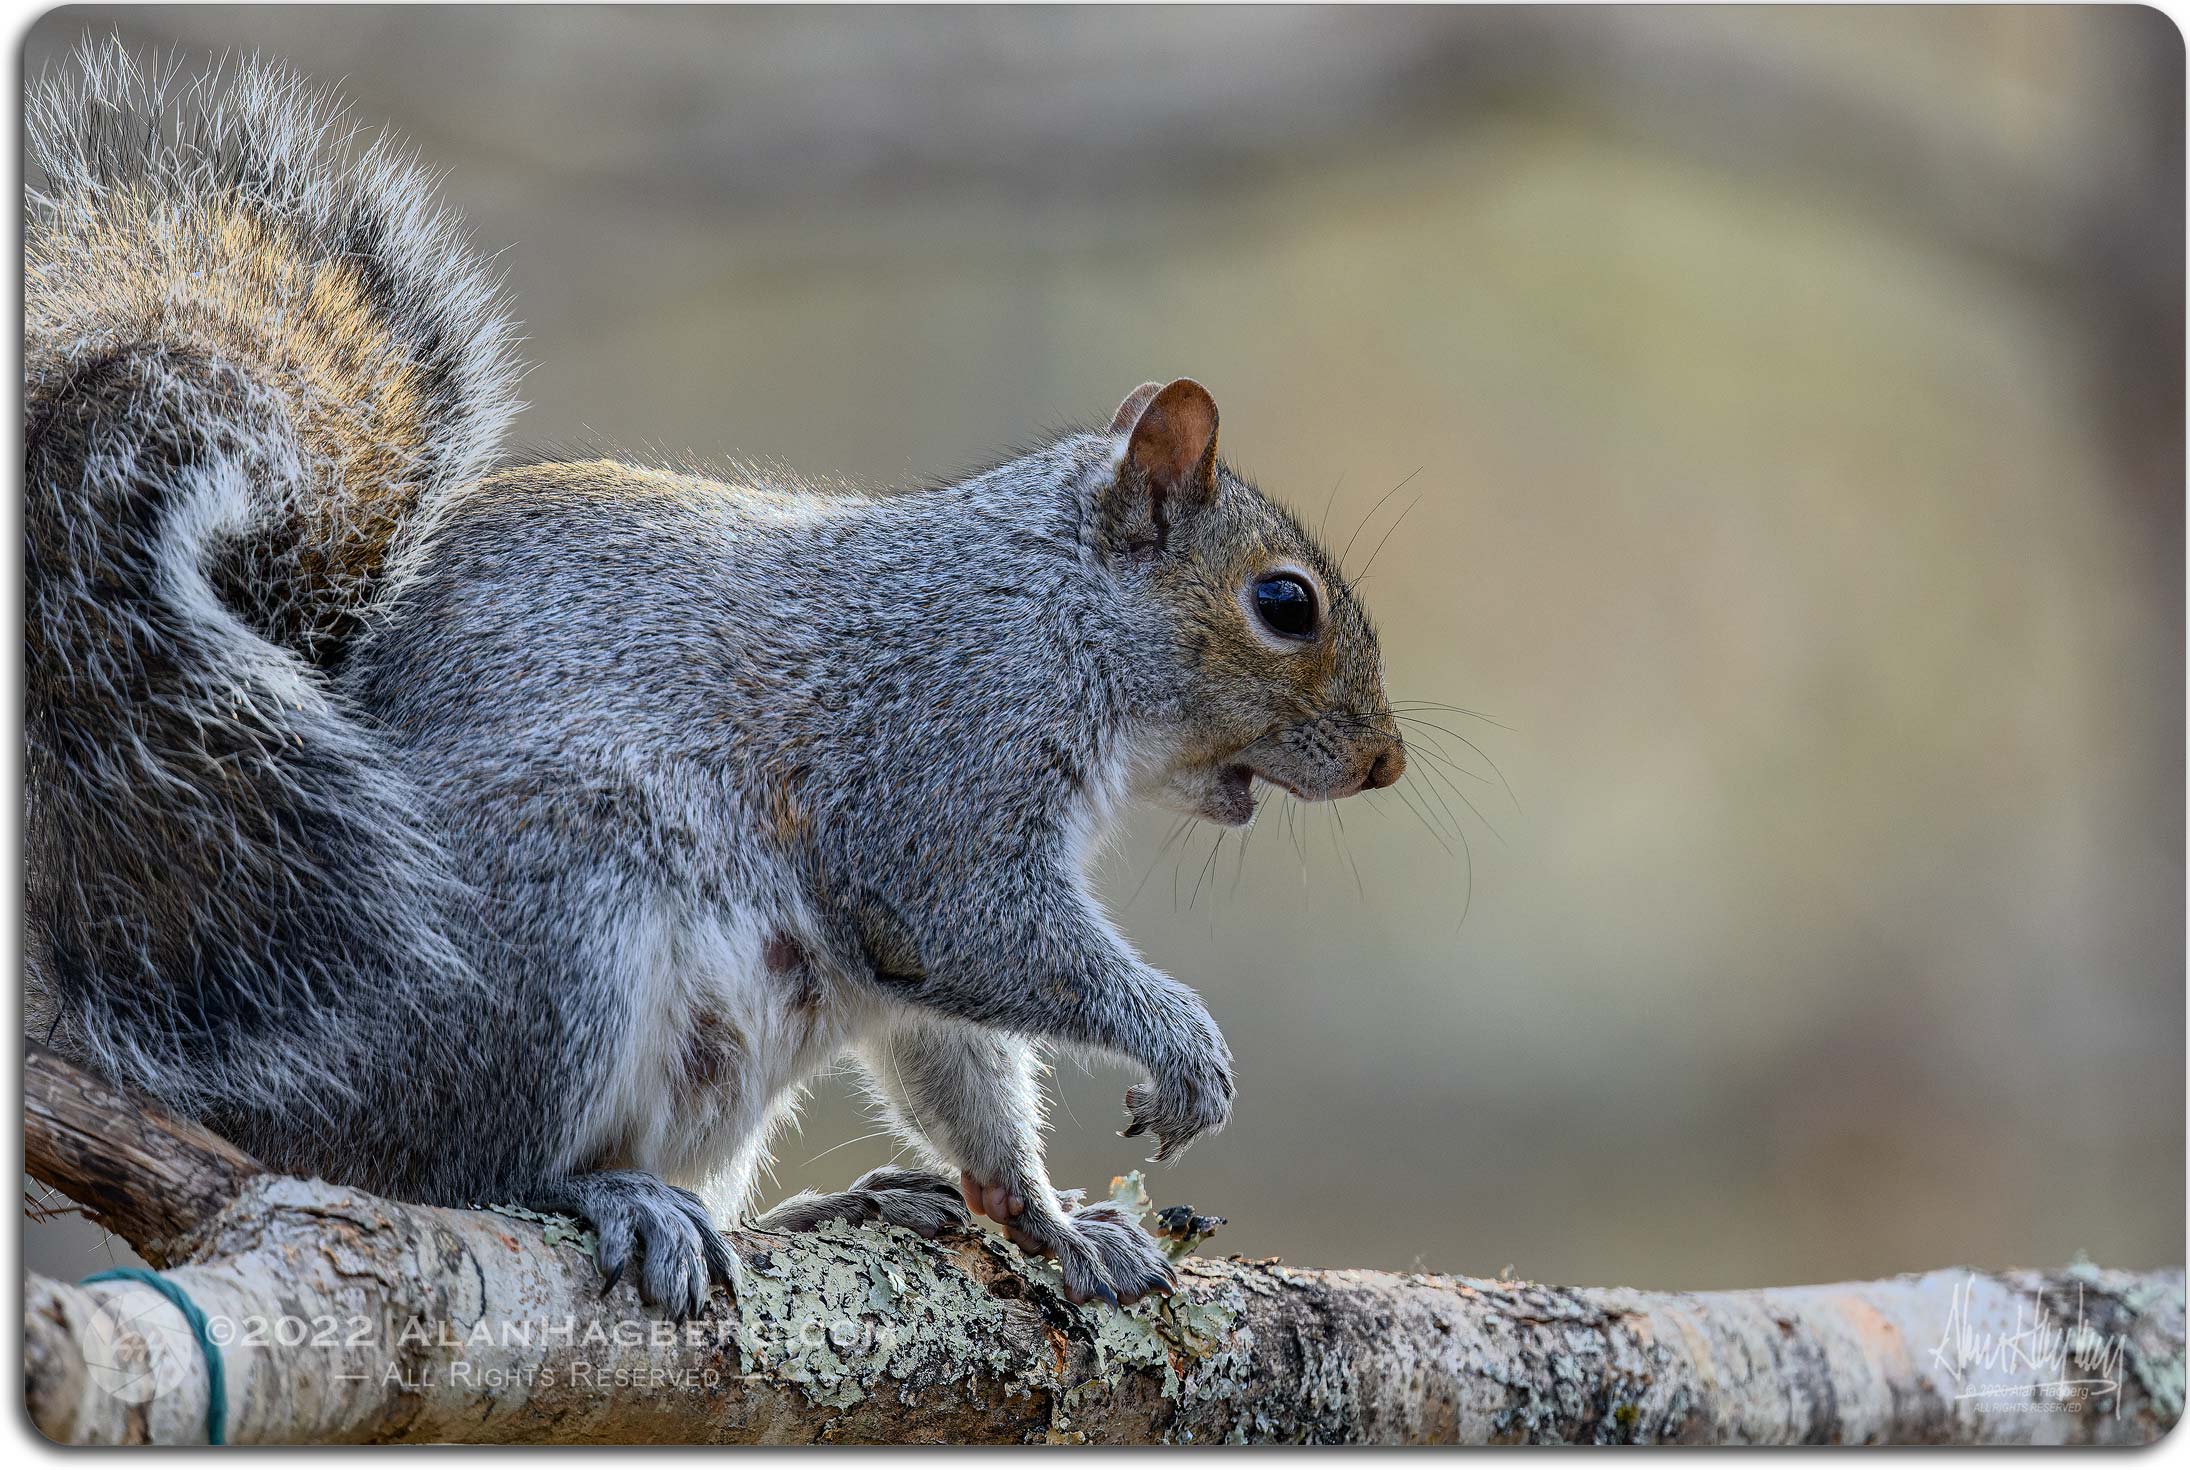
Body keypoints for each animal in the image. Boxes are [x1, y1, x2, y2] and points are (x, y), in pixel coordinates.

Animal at [25, 42, 1406, 1317]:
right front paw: (1183, 1048)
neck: (1044, 609)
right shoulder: (936, 765)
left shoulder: (907, 939)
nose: (1386, 761)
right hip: (556, 923)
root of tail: (275, 1102)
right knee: (462, 1166)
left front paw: (1050, 1221)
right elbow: (980, 929)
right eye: (1285, 604)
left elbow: (959, 1060)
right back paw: (607, 1195)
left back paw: (829, 1207)